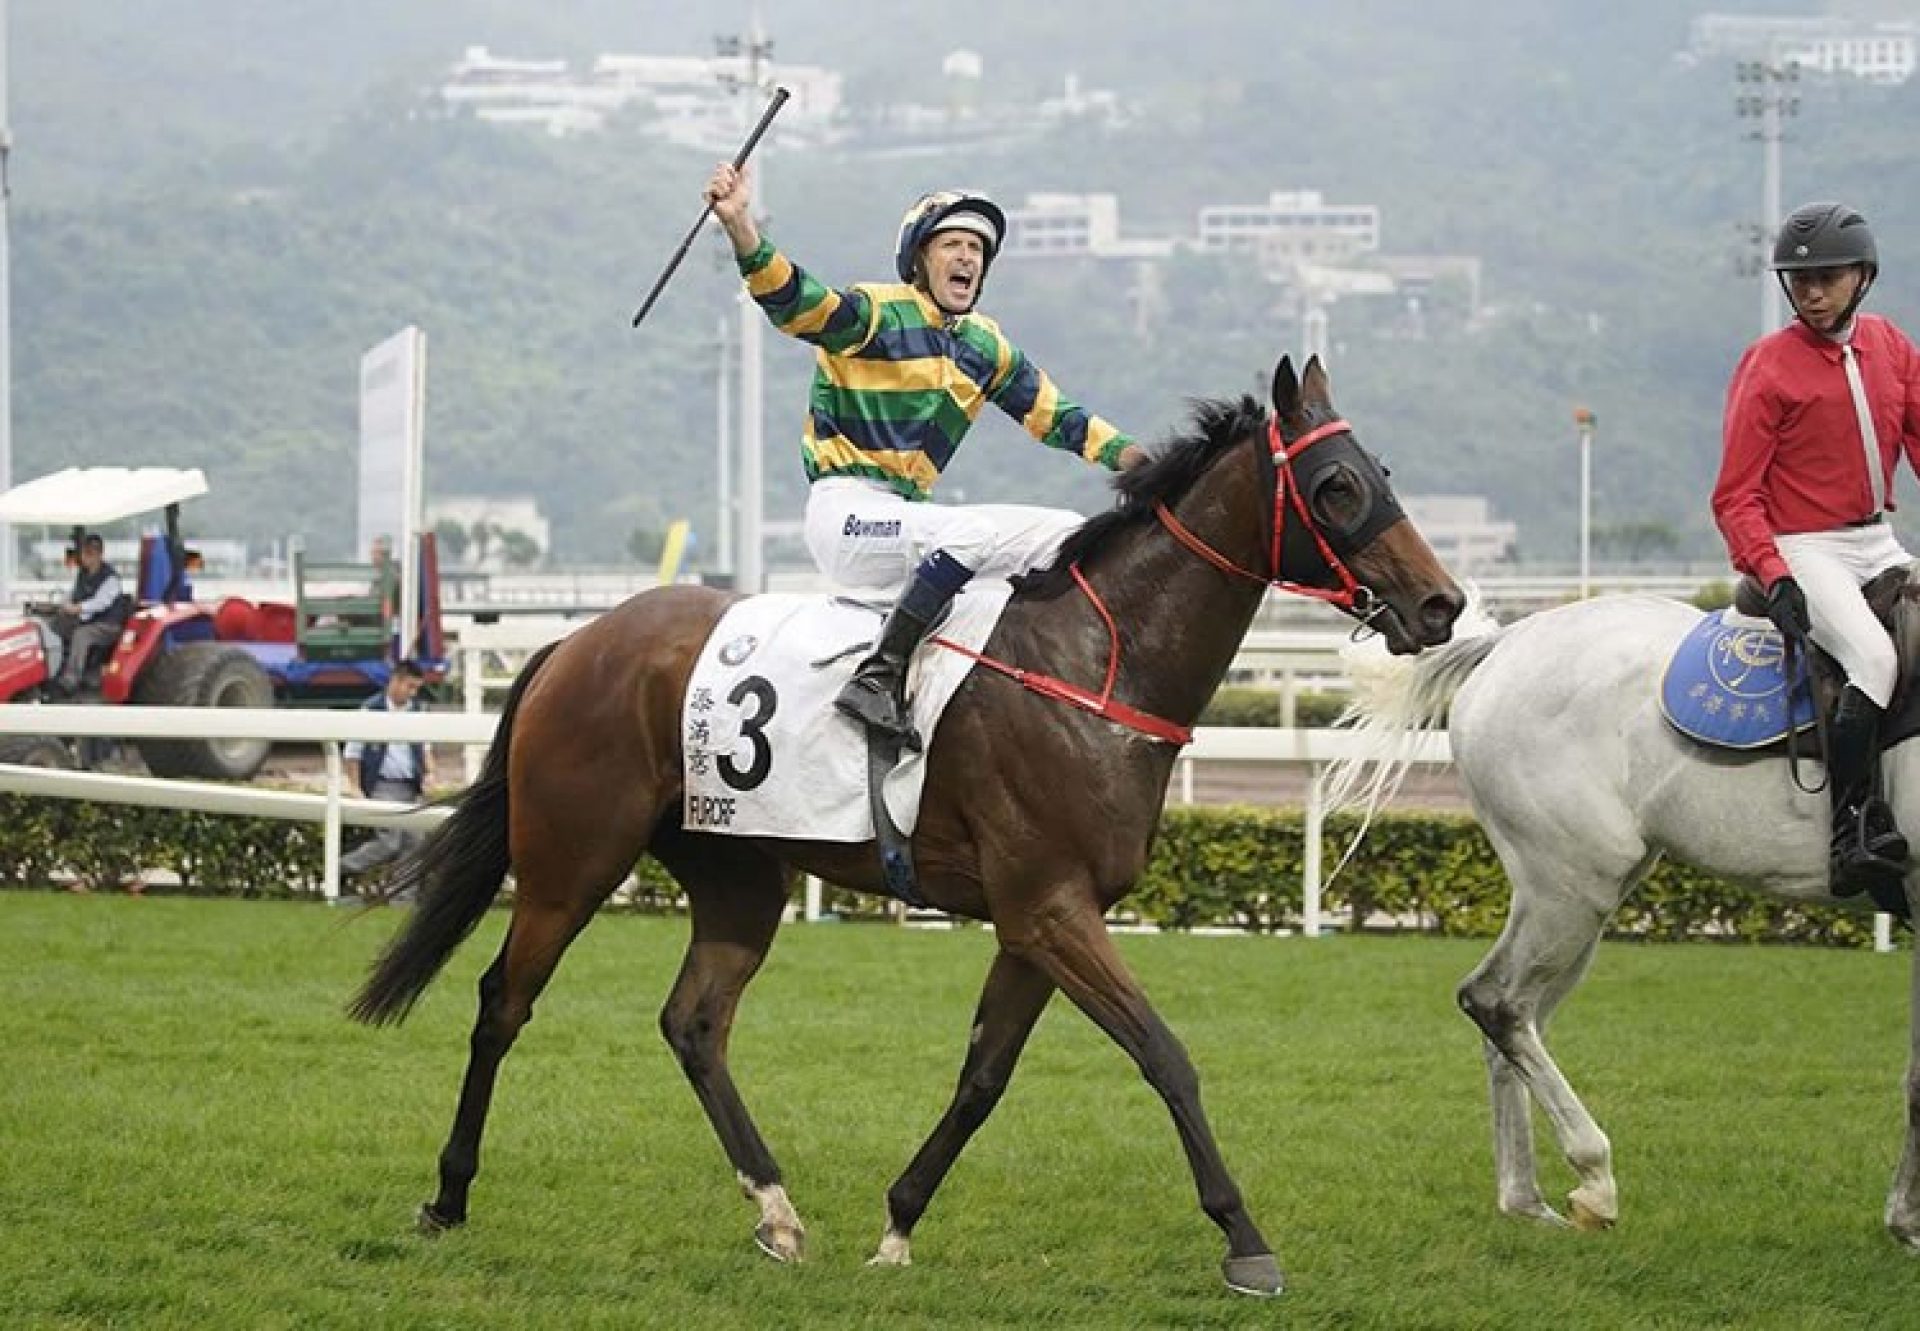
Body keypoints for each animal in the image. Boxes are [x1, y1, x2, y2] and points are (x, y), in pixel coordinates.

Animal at [349, 355, 1451, 1298]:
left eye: (1384, 473)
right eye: (1338, 486)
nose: (1442, 602)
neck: (1097, 663)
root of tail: (575, 640)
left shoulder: (1039, 917)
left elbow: (984, 1074)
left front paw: (898, 1220)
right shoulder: (1051, 907)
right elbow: (1163, 1052)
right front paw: (1246, 1239)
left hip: (737, 872)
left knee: (694, 1021)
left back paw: (777, 1210)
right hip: (570, 859)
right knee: (503, 1001)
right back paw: (447, 1195)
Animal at [1328, 587, 1920, 1244]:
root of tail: (1508, 641)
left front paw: (1906, 1220)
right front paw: (1906, 1222)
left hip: (1573, 894)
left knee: (1517, 1020)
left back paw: (1527, 1201)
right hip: (1571, 888)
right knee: (1496, 1001)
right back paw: (1594, 1178)